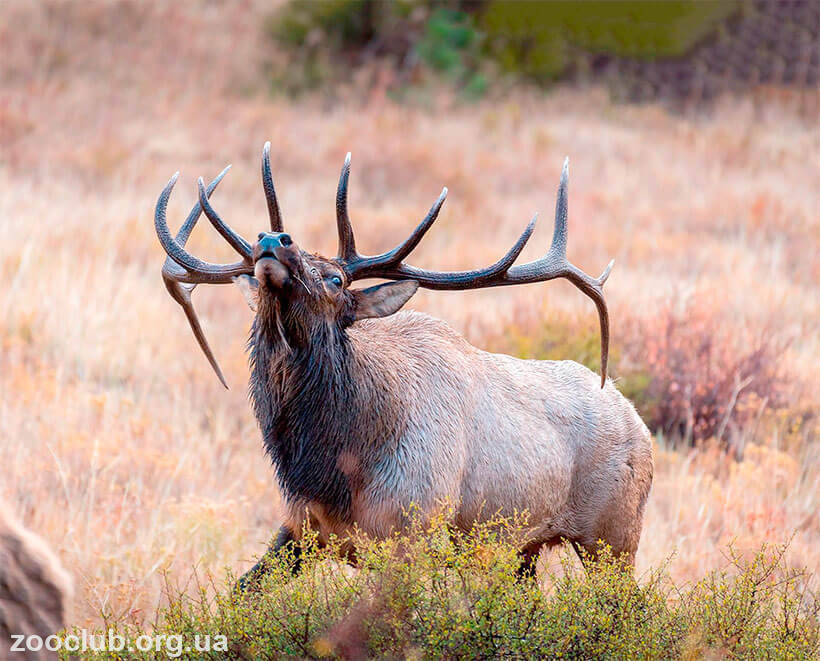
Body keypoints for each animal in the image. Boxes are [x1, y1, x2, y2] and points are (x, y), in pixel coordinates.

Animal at [154, 143, 652, 584]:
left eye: (336, 279)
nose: (273, 238)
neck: (331, 465)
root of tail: (636, 419)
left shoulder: (413, 533)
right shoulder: (300, 529)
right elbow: (240, 595)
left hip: (614, 535)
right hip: (521, 551)